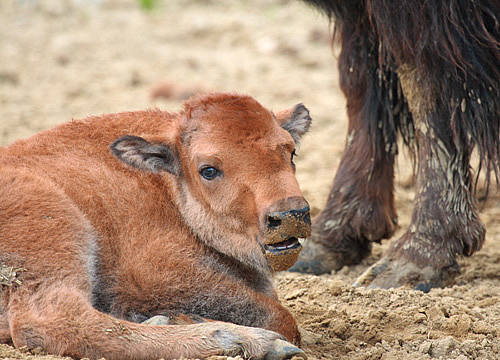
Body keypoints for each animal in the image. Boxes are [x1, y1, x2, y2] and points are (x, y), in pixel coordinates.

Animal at [0, 93, 312, 360]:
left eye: (291, 152)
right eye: (208, 170)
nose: (290, 214)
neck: (166, 185)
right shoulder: (158, 273)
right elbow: (279, 317)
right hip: (57, 225)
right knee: (50, 321)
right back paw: (246, 341)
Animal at [292, 0, 500, 292]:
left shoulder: (420, 16)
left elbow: (425, 85)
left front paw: (413, 261)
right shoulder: (361, 18)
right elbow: (360, 79)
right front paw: (330, 237)